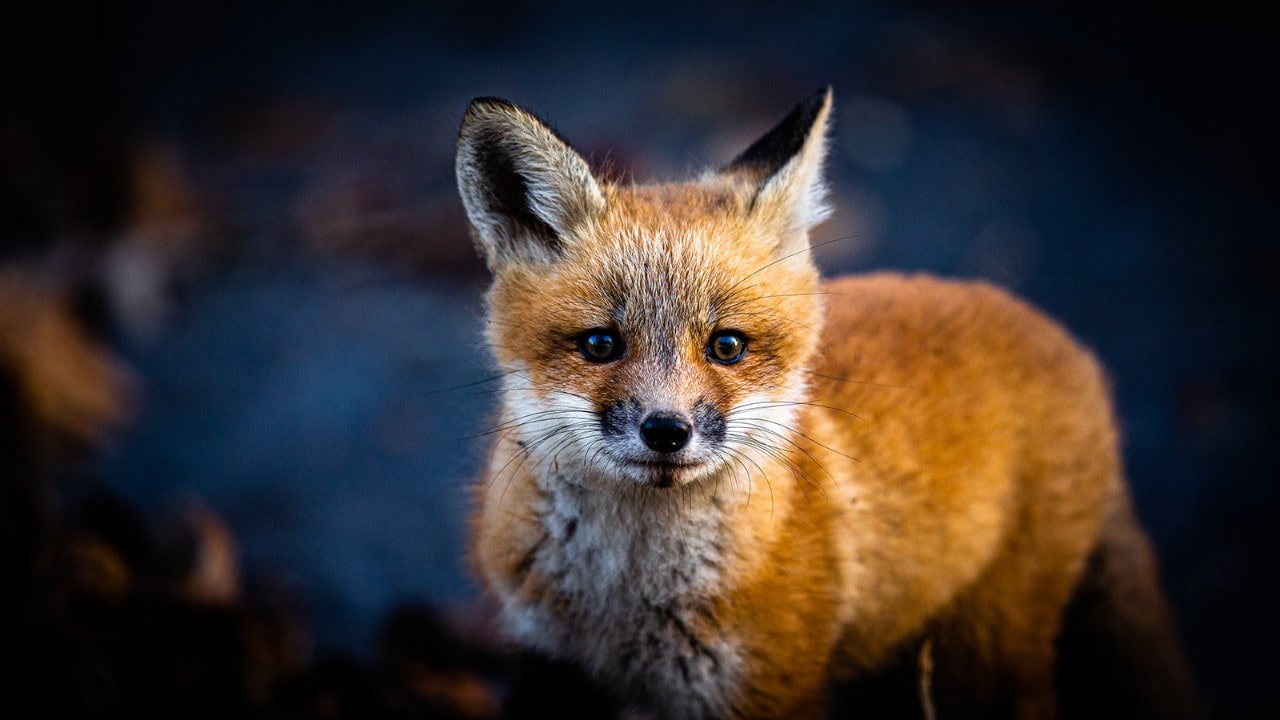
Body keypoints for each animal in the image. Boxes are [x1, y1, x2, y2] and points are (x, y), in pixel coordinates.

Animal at [455, 88, 1203, 717]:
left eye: (727, 346)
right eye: (600, 344)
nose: (666, 430)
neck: (624, 604)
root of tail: (1057, 334)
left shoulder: (767, 687)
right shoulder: (552, 666)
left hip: (986, 657)